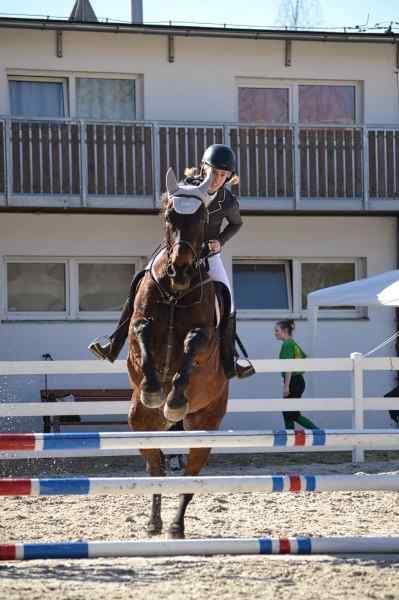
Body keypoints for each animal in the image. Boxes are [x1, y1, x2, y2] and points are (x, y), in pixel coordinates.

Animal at [126, 165, 230, 540]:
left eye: (202, 219)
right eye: (169, 215)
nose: (181, 270)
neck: (175, 292)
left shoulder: (204, 337)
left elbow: (190, 349)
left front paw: (173, 398)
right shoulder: (139, 326)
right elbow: (142, 335)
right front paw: (154, 390)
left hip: (205, 424)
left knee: (189, 477)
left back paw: (175, 526)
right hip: (140, 423)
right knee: (156, 467)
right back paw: (154, 522)